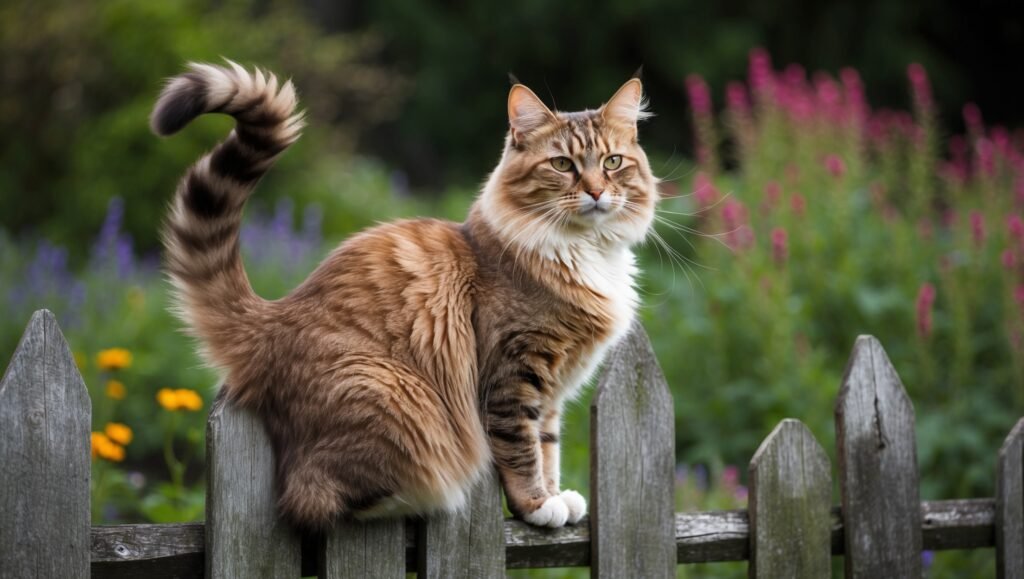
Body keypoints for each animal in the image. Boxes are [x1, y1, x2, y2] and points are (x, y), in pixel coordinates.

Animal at [151, 61, 659, 528]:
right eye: (562, 165)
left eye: (612, 162)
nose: (596, 192)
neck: (582, 251)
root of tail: (271, 319)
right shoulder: (513, 374)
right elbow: (521, 449)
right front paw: (536, 506)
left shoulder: (550, 391)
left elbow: (547, 446)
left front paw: (555, 496)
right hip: (393, 394)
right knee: (311, 498)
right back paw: (433, 495)